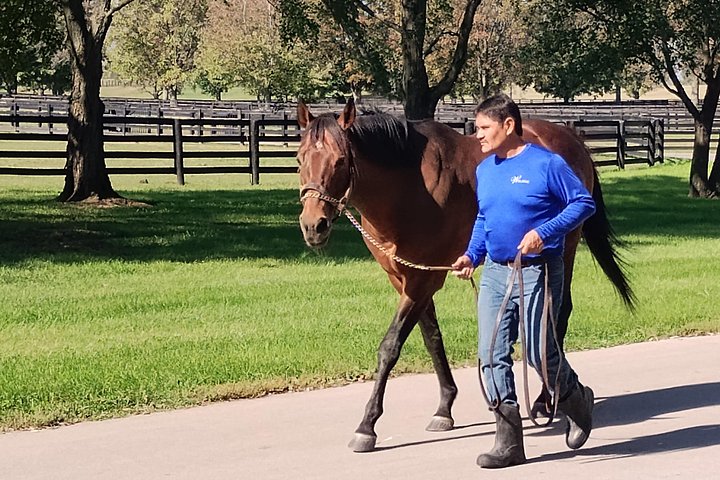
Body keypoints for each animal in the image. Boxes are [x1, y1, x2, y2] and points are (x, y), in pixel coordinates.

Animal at [296, 98, 634, 453]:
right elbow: (432, 339)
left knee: (555, 316)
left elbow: (390, 346)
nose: (313, 226)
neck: (409, 187)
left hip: (562, 250)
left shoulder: (422, 282)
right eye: (300, 159)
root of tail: (572, 139)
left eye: (340, 160)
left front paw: (367, 426)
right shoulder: (406, 278)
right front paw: (445, 407)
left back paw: (544, 399)